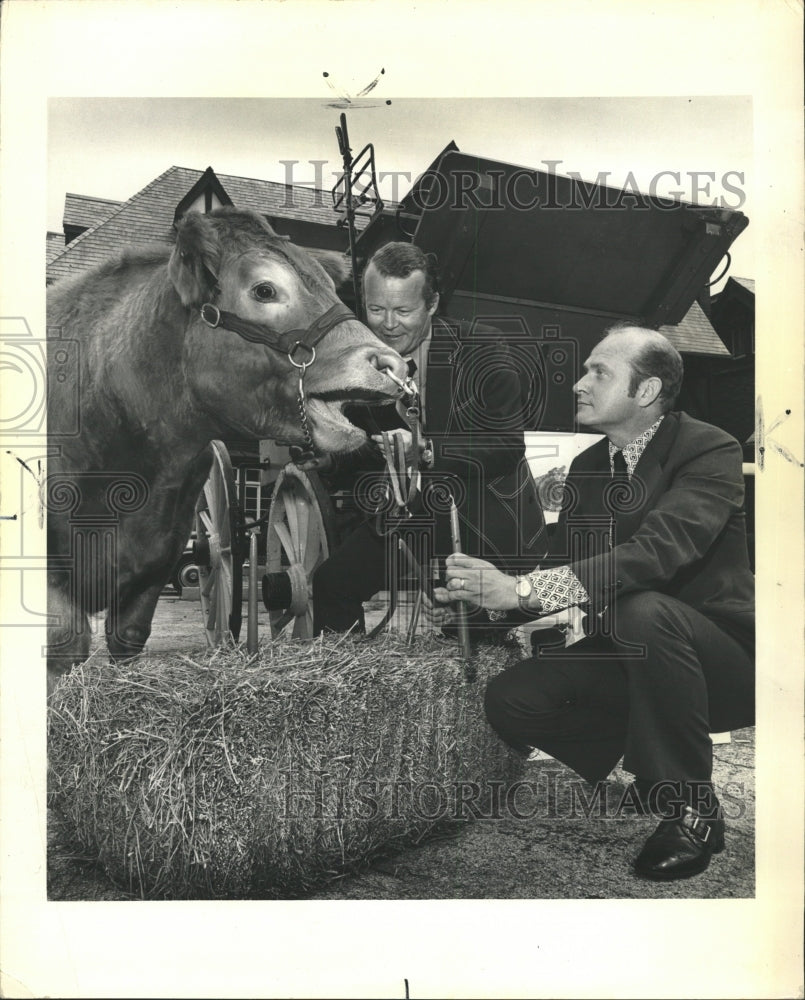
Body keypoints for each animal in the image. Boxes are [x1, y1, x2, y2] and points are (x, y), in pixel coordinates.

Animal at [47, 209, 406, 696]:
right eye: (264, 289)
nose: (392, 364)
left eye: (333, 290)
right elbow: (63, 649)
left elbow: (127, 638)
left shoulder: (154, 565)